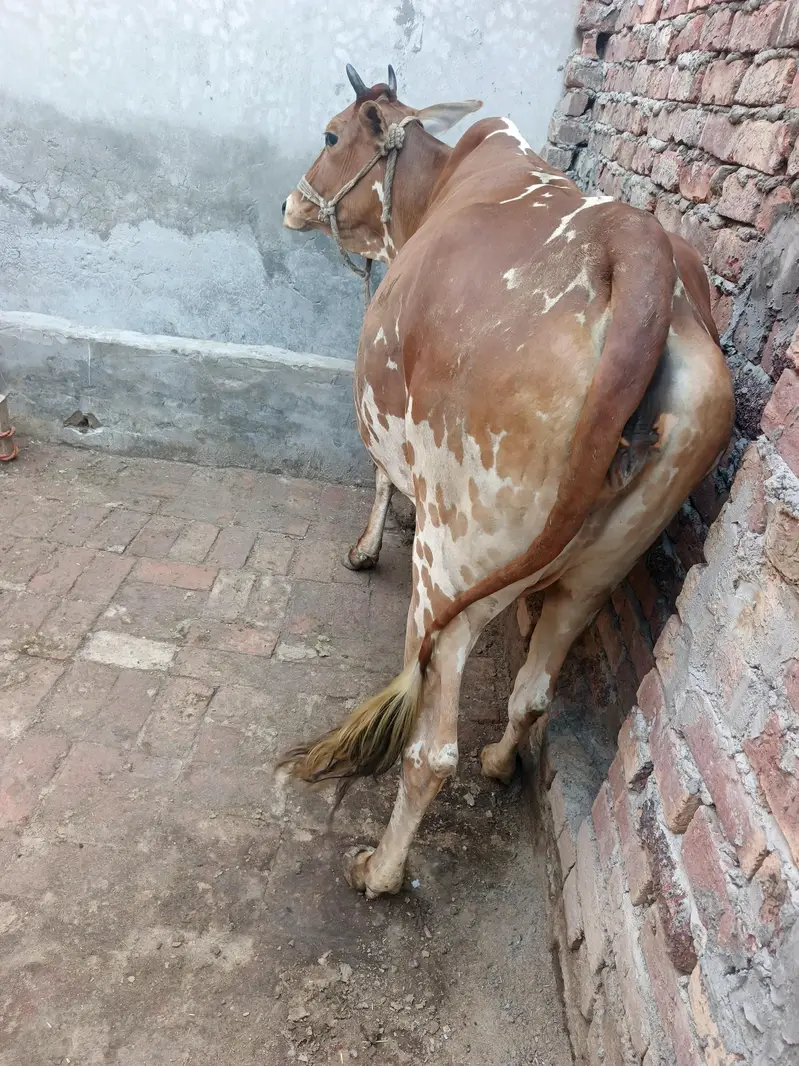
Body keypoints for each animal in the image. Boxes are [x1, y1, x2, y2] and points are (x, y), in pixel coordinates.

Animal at [280, 65, 734, 899]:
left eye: (331, 135)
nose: (292, 203)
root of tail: (636, 247)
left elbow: (379, 478)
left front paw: (364, 548)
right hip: (597, 570)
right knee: (532, 691)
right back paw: (498, 762)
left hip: (450, 564)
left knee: (430, 750)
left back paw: (381, 868)